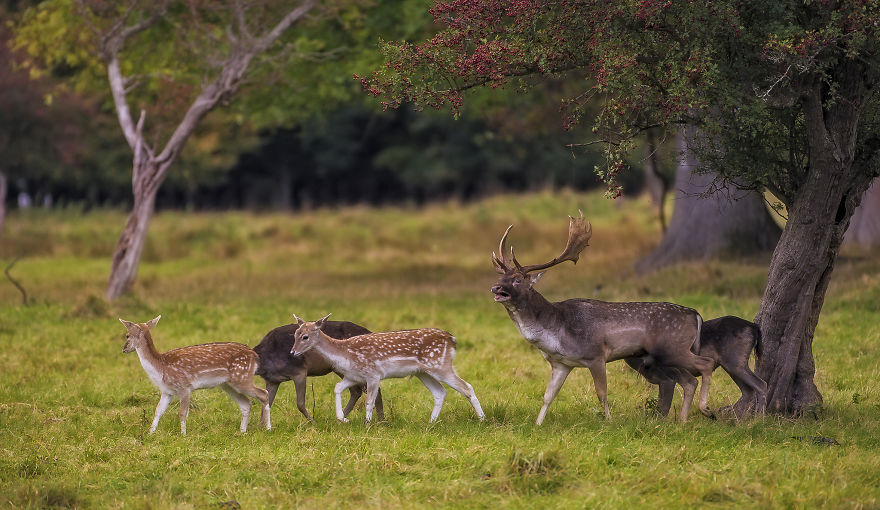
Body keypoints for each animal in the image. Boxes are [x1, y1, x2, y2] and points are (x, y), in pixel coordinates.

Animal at [118, 315, 270, 435]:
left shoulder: (184, 386)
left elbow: (182, 413)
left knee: (264, 393)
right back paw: (242, 432)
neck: (160, 367)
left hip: (242, 377)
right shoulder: (167, 391)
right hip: (228, 385)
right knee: (246, 404)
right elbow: (158, 410)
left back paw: (268, 428)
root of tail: (255, 355)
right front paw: (150, 433)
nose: (124, 349)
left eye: (127, 335)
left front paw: (183, 435)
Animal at [253, 320, 385, 422]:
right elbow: (266, 403)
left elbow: (300, 403)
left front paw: (312, 422)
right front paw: (261, 427)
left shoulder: (299, 371)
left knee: (373, 390)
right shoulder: (272, 380)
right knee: (356, 391)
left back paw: (381, 420)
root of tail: (369, 331)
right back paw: (341, 419)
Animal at [290, 314, 485, 424]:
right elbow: (337, 388)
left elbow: (369, 401)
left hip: (440, 365)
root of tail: (452, 339)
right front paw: (343, 418)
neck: (345, 353)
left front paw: (368, 424)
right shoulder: (353, 376)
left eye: (305, 336)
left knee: (467, 387)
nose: (292, 352)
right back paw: (431, 422)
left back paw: (482, 419)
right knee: (440, 392)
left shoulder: (373, 373)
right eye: (295, 334)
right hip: (423, 372)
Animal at [490, 212, 716, 423]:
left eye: (517, 280)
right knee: (689, 381)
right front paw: (537, 424)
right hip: (667, 354)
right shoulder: (561, 364)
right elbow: (548, 396)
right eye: (501, 277)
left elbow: (602, 394)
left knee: (706, 363)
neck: (556, 331)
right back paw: (683, 421)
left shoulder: (596, 354)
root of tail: (695, 314)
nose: (495, 288)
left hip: (672, 347)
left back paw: (705, 410)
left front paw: (609, 421)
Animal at [626, 315, 767, 419]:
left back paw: (759, 419)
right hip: (731, 365)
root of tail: (754, 327)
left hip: (735, 361)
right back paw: (740, 421)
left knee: (761, 384)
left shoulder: (669, 376)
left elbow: (663, 406)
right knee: (748, 390)